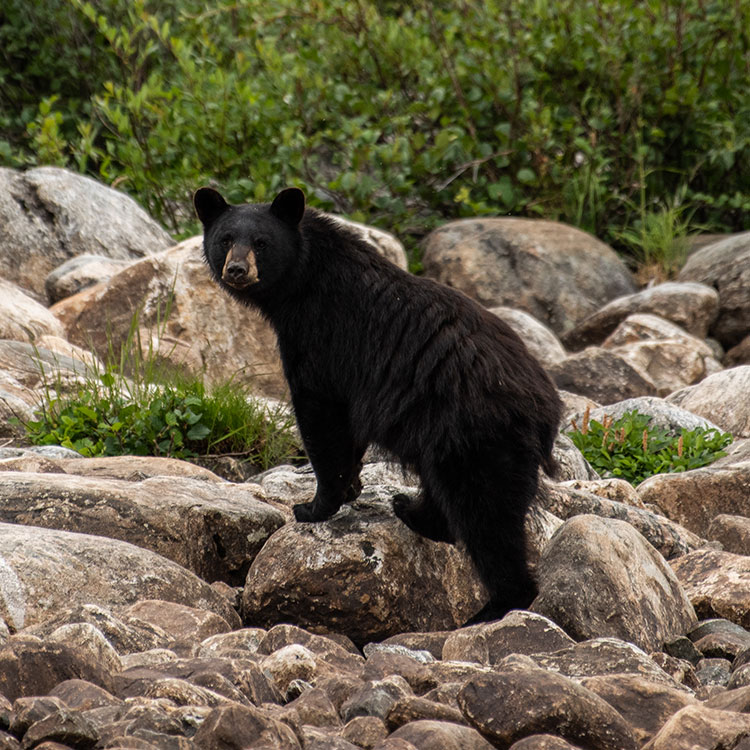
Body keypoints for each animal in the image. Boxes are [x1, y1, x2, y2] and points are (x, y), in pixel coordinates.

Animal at [194, 187, 564, 624]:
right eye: (225, 239)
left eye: (261, 243)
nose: (237, 270)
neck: (304, 282)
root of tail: (548, 410)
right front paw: (352, 487)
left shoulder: (321, 339)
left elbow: (322, 418)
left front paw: (313, 506)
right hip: (448, 438)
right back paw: (410, 509)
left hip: (481, 438)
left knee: (488, 518)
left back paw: (493, 607)